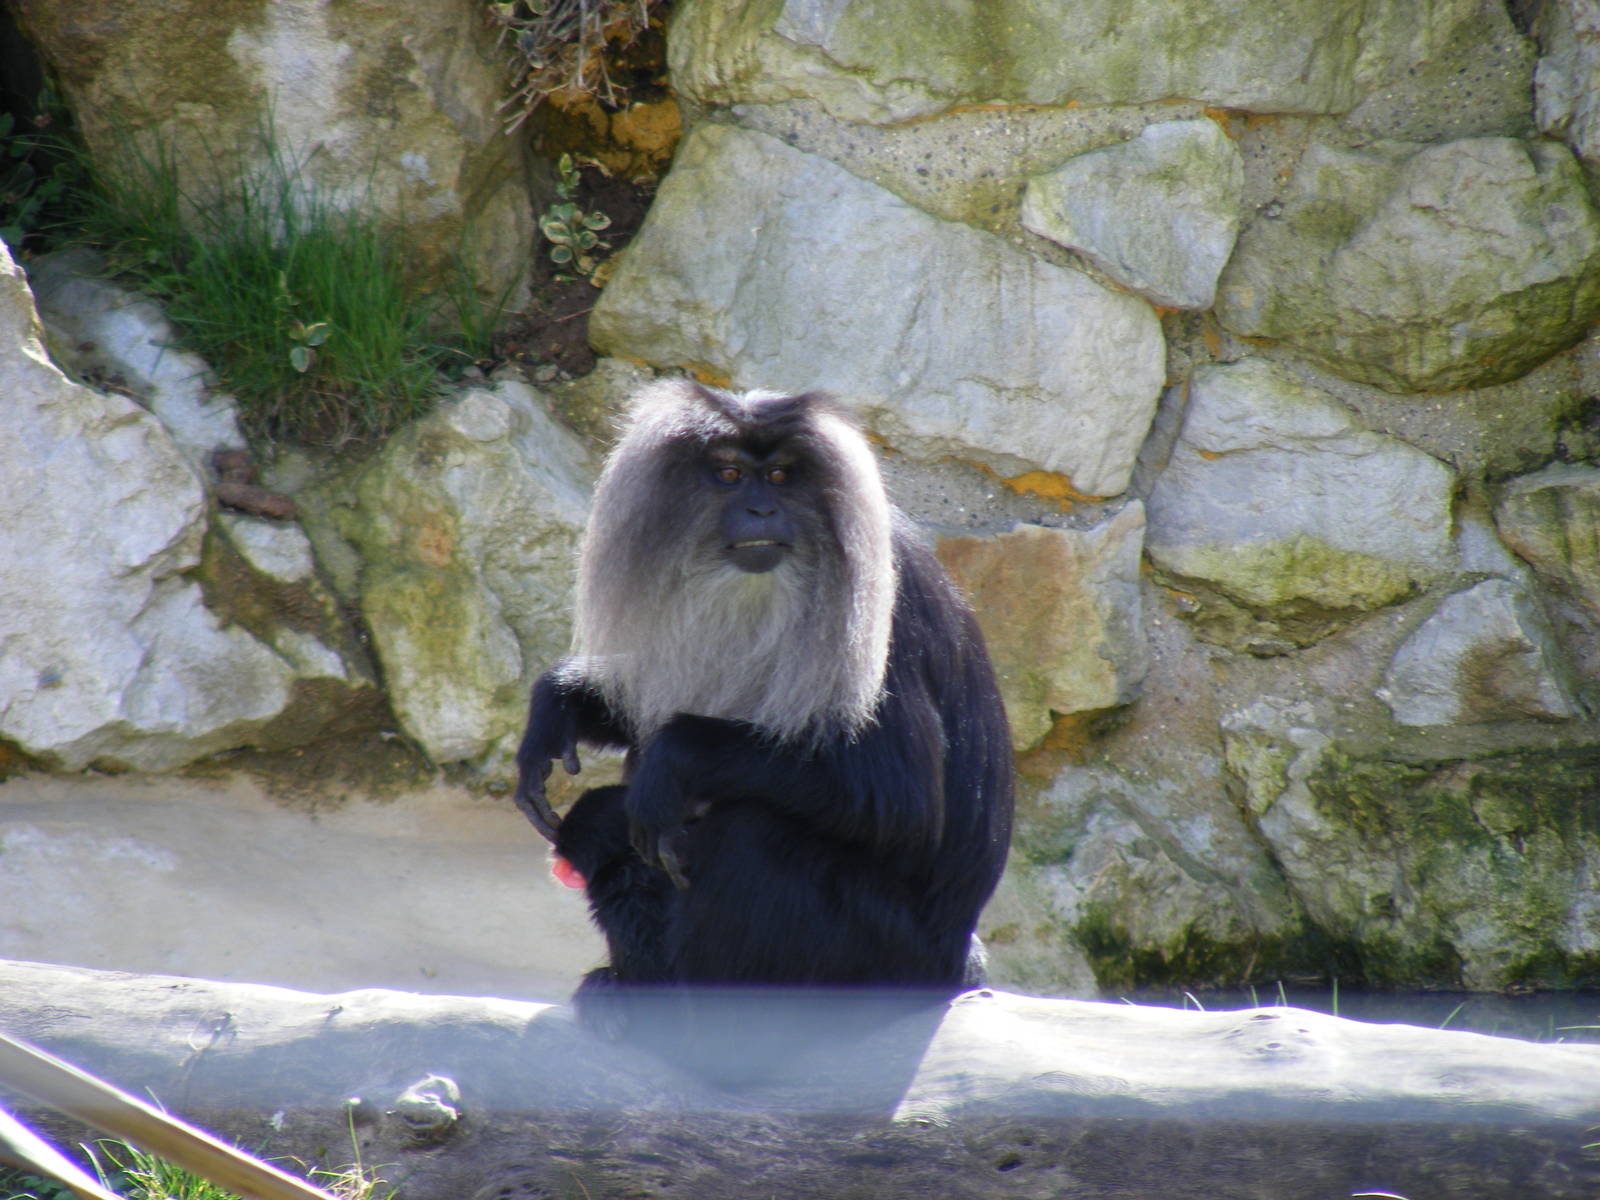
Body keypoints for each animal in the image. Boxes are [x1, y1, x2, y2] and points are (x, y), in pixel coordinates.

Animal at [514, 380, 1013, 1027]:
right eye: (729, 474)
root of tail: (959, 966)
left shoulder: (880, 608)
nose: (761, 510)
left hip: (888, 960)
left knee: (750, 834)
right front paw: (561, 702)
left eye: (778, 477)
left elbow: (899, 797)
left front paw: (671, 760)